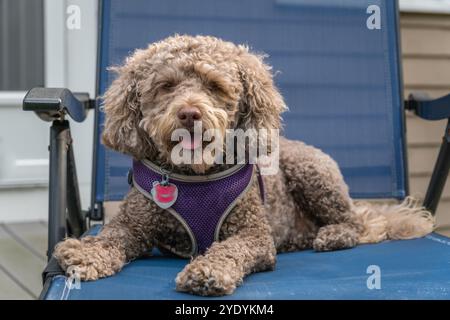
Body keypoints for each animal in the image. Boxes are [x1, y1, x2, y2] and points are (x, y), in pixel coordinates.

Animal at [53, 33, 436, 296]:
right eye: (166, 86)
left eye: (214, 86)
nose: (189, 113)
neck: (193, 176)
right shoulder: (133, 225)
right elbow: (110, 237)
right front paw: (85, 253)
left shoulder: (253, 234)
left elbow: (230, 249)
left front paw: (207, 272)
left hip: (313, 173)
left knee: (355, 223)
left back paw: (332, 235)